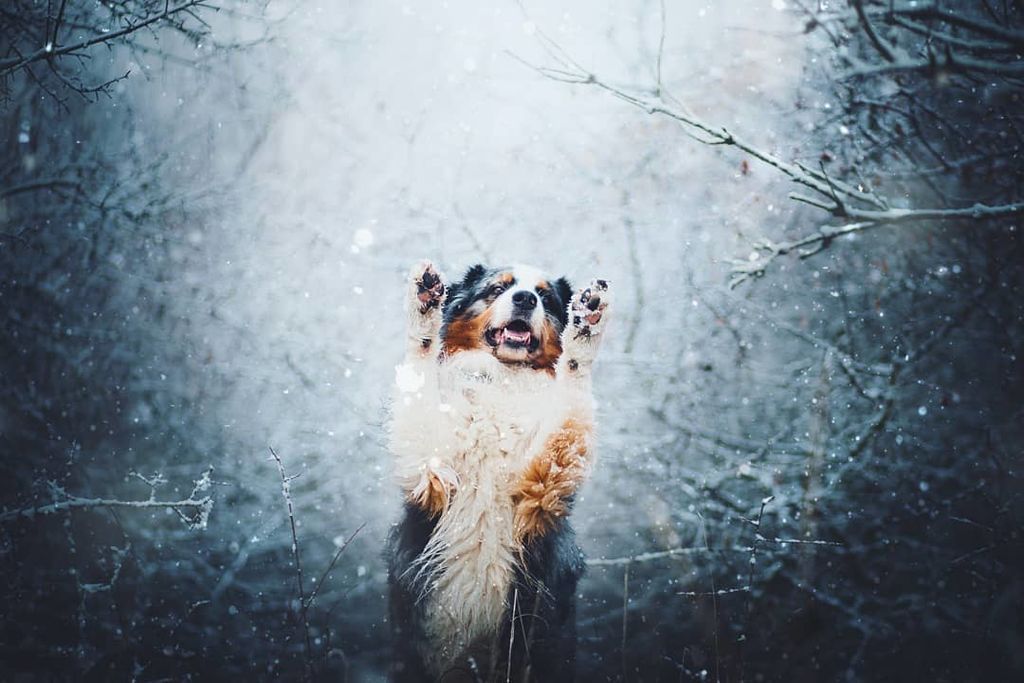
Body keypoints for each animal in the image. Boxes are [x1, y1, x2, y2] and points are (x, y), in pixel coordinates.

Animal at [385, 259, 606, 679]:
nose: (524, 298)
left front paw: (585, 325)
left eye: (545, 297)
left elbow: (571, 395)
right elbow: (419, 374)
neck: (504, 378)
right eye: (498, 289)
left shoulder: (542, 490)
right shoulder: (431, 476)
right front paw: (423, 303)